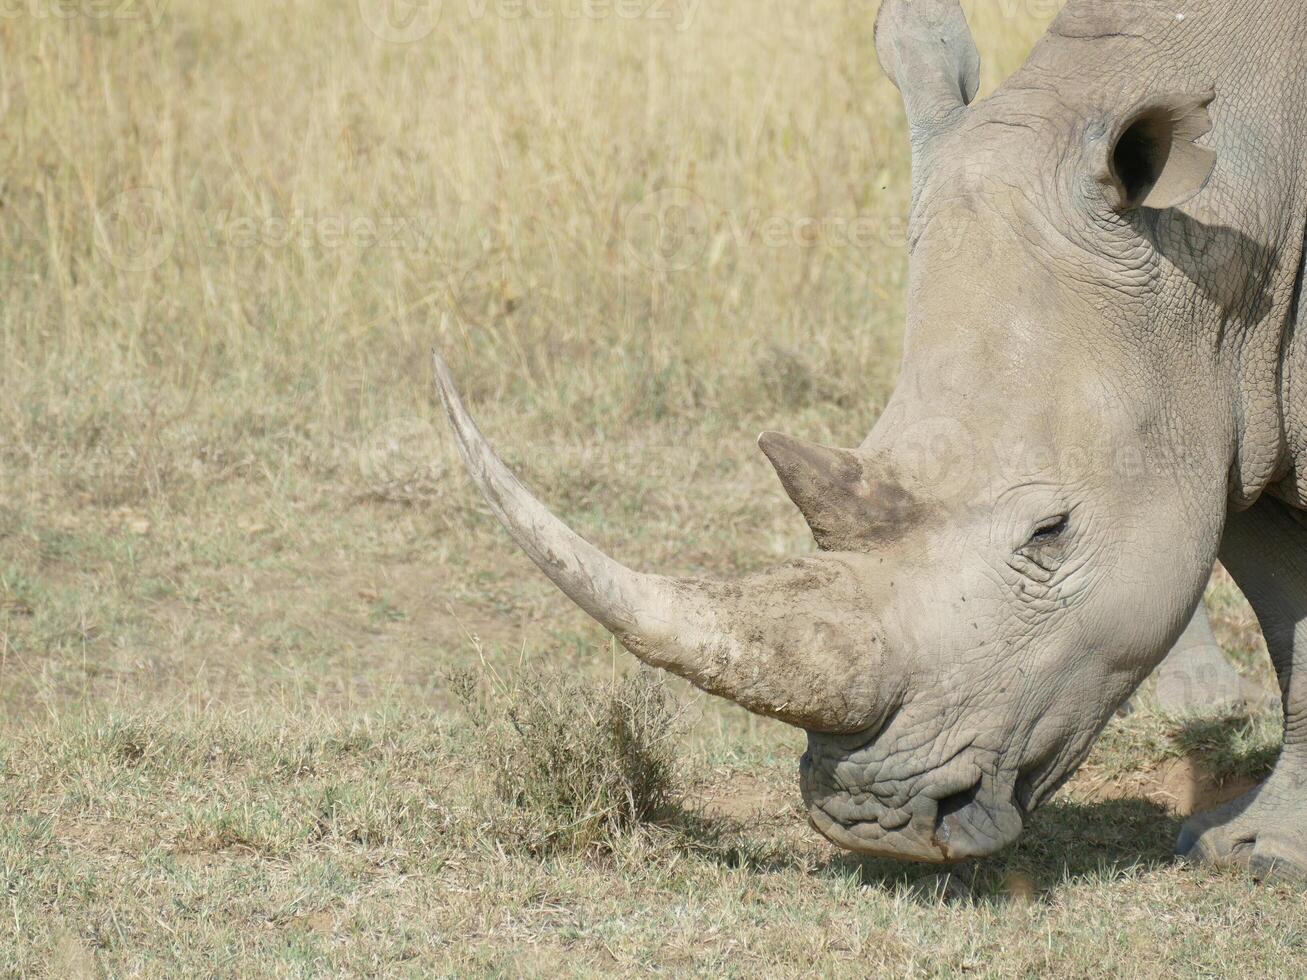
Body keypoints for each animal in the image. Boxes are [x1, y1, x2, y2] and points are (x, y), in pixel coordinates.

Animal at [436, 0, 1307, 883]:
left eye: (1051, 534)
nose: (870, 820)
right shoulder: (1226, 403)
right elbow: (1286, 616)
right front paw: (1251, 850)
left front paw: (1263, 858)